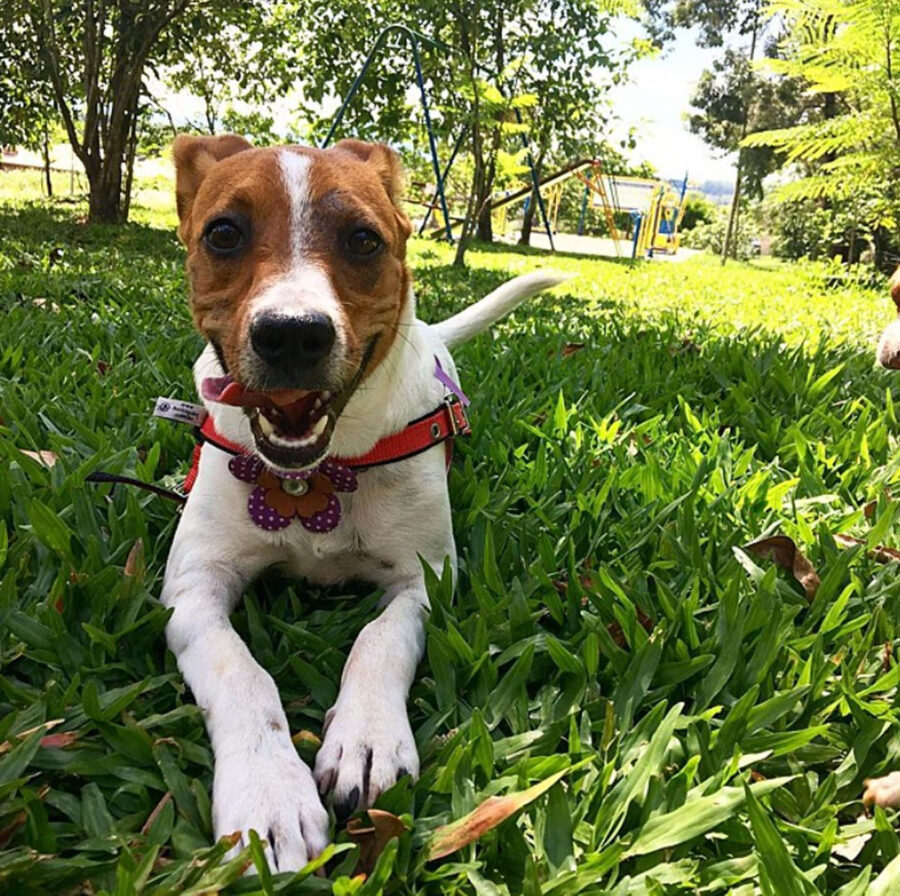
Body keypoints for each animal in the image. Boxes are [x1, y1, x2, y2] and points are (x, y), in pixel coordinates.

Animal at [161, 136, 568, 872]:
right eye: (224, 233)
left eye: (362, 239)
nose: (293, 333)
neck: (316, 475)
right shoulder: (192, 586)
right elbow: (240, 672)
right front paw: (268, 792)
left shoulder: (424, 580)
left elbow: (379, 641)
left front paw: (367, 738)